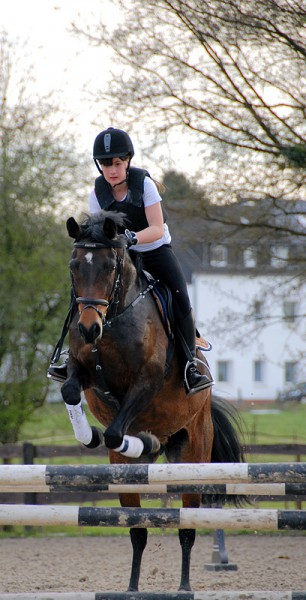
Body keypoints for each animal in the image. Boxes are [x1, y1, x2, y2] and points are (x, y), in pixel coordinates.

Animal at [61, 211, 245, 592]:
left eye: (108, 267)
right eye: (74, 266)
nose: (88, 328)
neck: (114, 319)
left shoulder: (146, 382)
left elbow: (115, 432)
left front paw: (139, 441)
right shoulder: (80, 370)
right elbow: (71, 391)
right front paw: (89, 435)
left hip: (193, 452)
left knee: (187, 527)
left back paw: (184, 587)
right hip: (130, 477)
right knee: (137, 529)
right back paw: (131, 588)